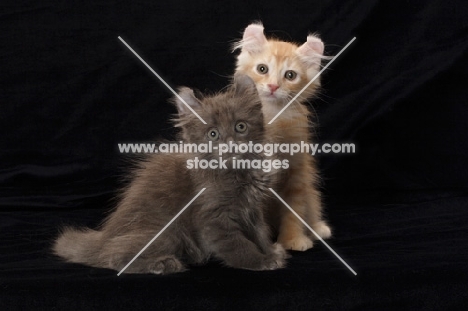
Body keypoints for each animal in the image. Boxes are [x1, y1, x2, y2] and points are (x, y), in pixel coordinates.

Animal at [51, 75, 288, 276]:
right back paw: (163, 264)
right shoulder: (213, 216)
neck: (238, 169)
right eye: (213, 134)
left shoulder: (253, 209)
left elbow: (260, 232)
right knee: (114, 255)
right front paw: (260, 261)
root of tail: (103, 237)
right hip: (168, 232)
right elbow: (237, 243)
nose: (230, 144)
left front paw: (270, 251)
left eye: (240, 127)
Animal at [232, 22, 330, 251]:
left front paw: (293, 239)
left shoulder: (297, 173)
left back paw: (318, 228)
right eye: (262, 69)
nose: (273, 86)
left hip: (311, 192)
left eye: (290, 75)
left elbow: (294, 209)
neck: (273, 116)